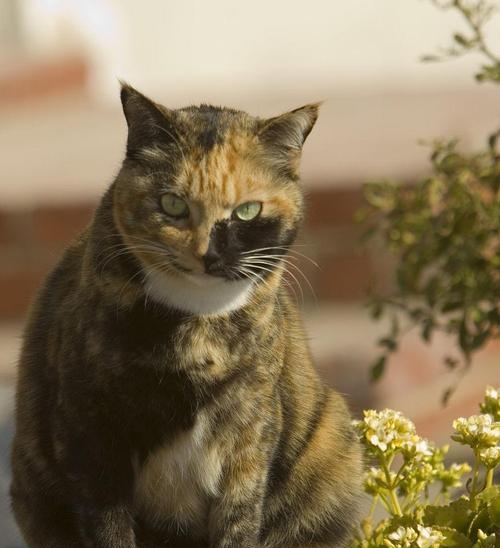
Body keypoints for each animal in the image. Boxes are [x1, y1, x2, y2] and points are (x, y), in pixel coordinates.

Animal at [9, 82, 362, 548]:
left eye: (247, 210)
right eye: (173, 204)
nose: (207, 254)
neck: (198, 323)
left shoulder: (249, 436)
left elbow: (239, 522)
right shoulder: (90, 432)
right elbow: (109, 529)